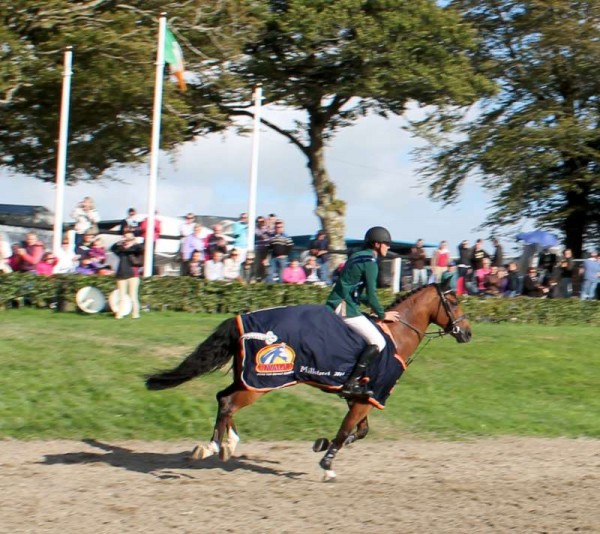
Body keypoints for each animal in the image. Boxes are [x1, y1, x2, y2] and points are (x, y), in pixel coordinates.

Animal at [146, 284, 474, 482]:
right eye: (453, 301)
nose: (468, 333)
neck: (395, 336)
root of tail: (241, 319)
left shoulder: (360, 398)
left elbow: (360, 432)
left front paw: (322, 445)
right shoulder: (366, 398)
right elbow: (345, 432)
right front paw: (327, 466)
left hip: (249, 380)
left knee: (222, 399)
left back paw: (228, 444)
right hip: (261, 382)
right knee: (227, 402)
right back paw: (215, 446)